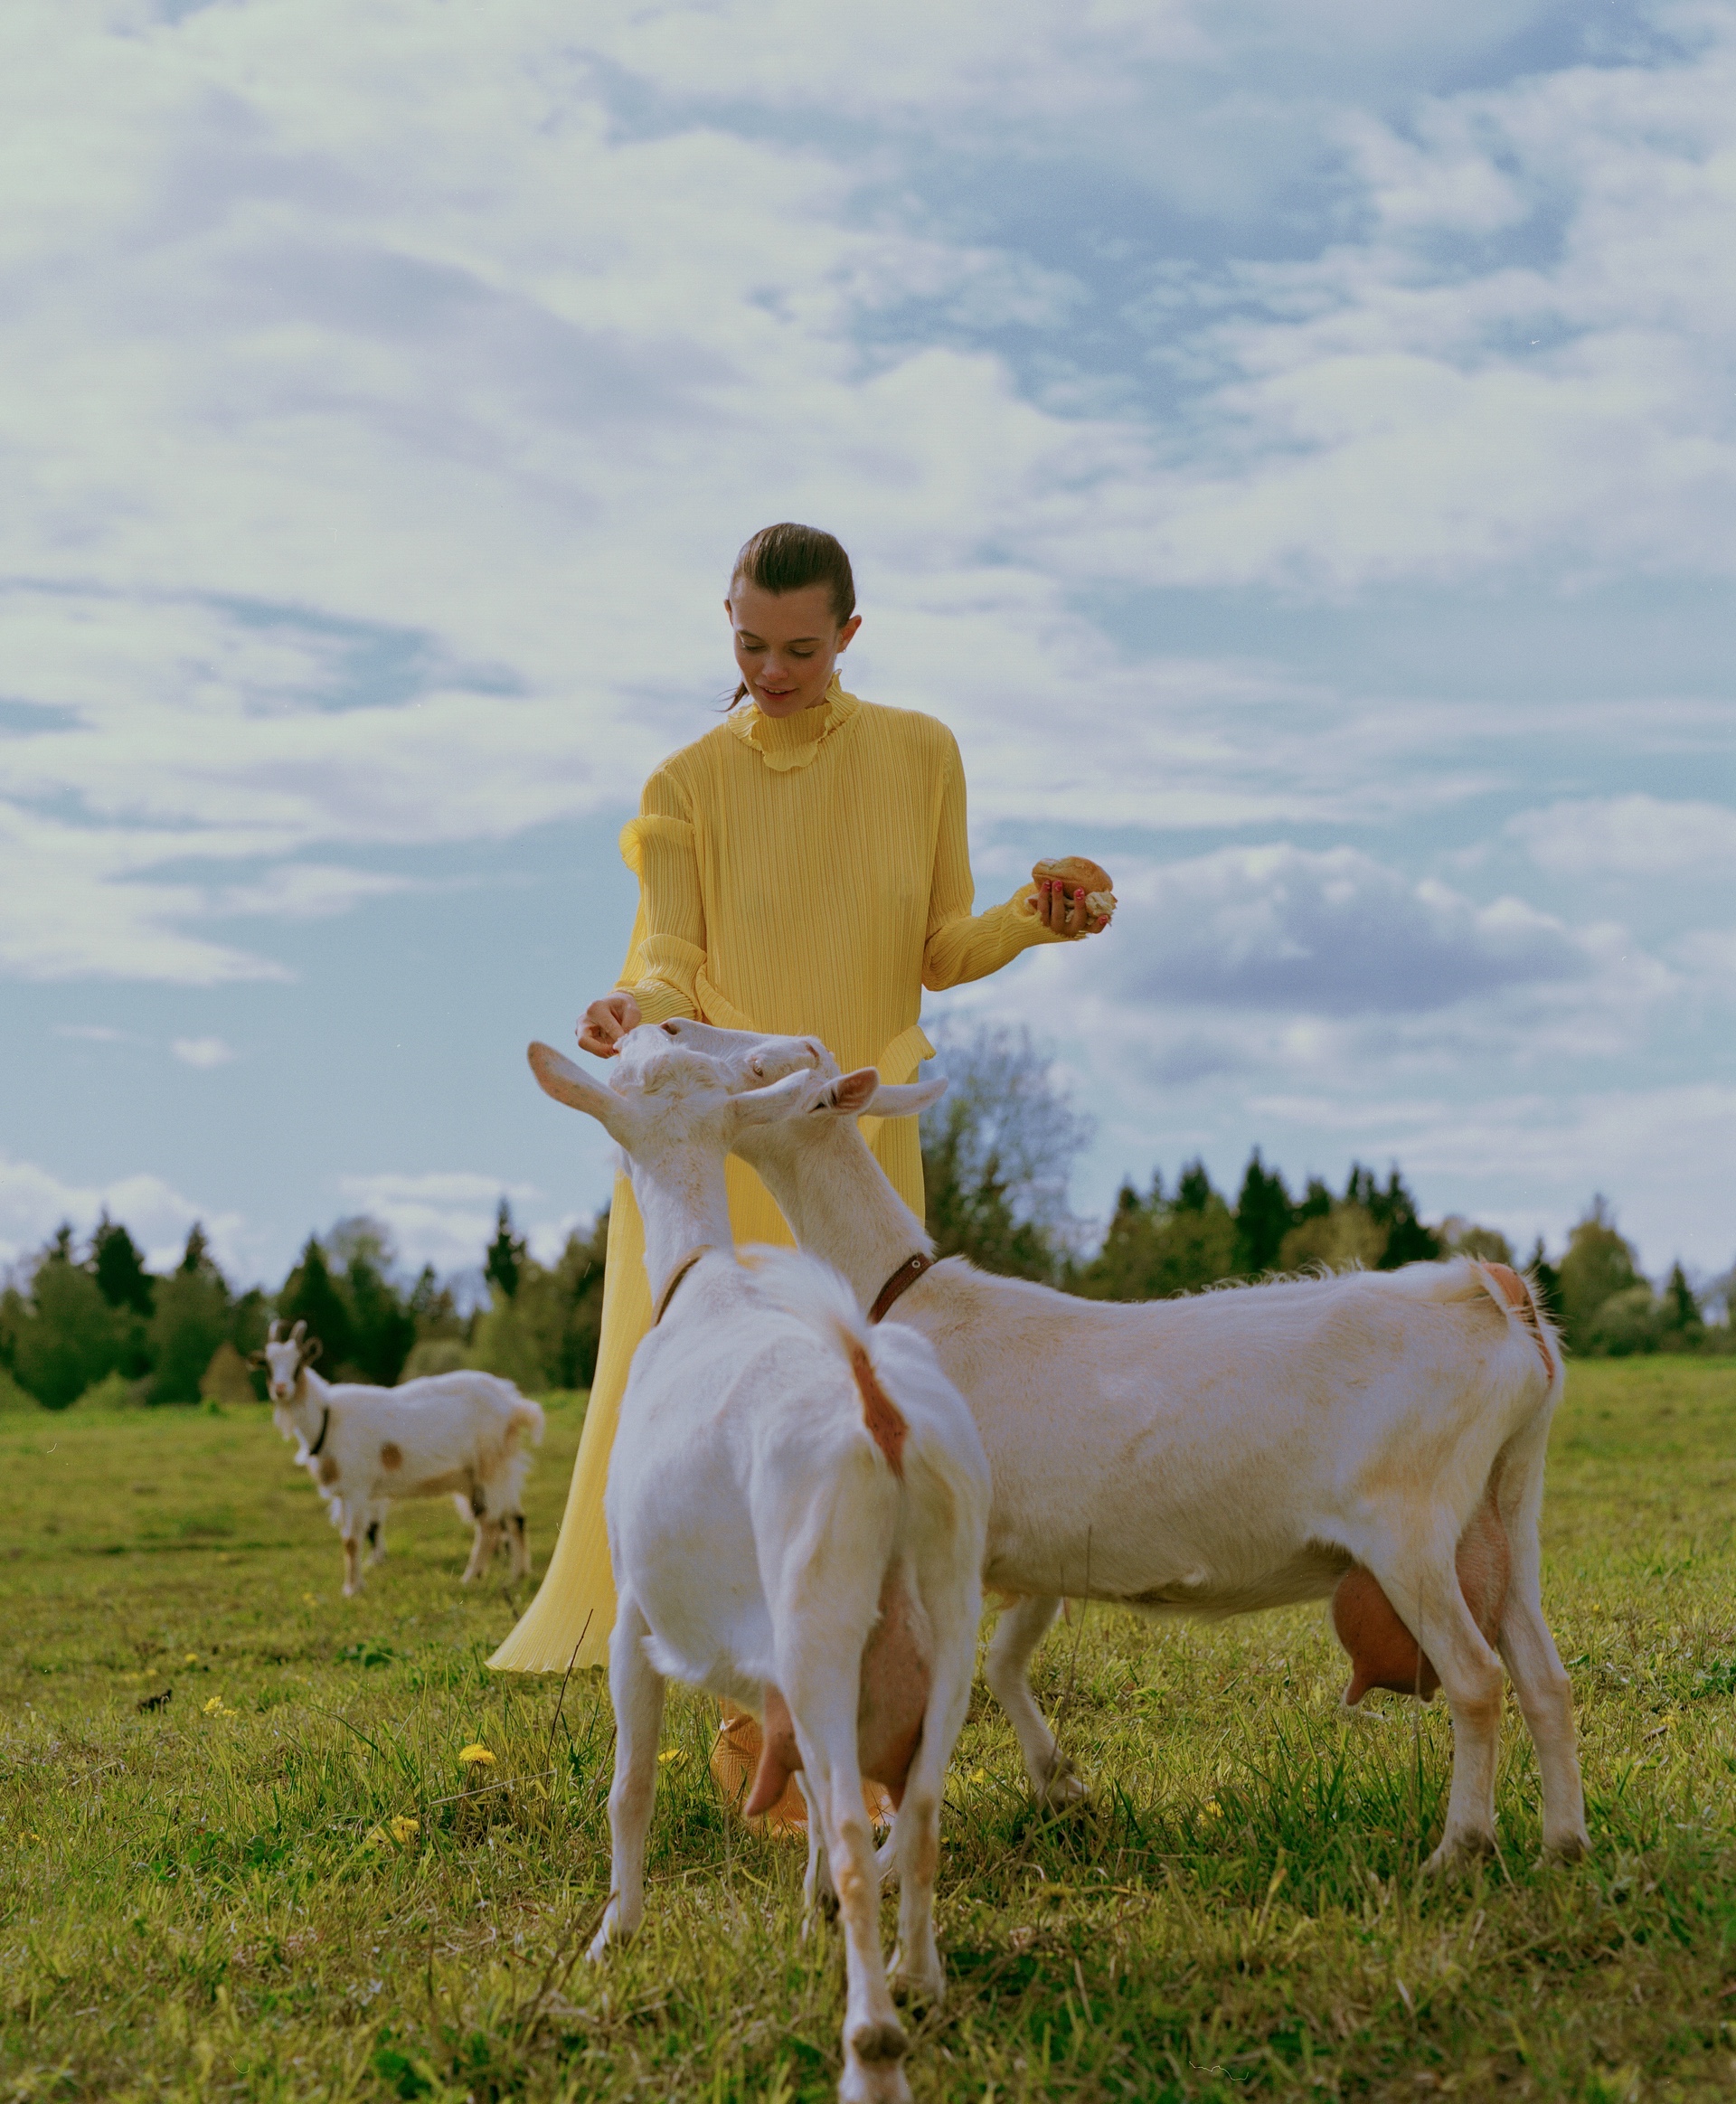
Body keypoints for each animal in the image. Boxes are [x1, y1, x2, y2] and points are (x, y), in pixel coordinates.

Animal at [255, 1321, 542, 1599]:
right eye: (267, 1364)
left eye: (298, 1363)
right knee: (511, 1518)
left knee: (493, 1523)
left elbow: (352, 1539)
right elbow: (351, 1537)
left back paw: (477, 1577)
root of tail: (513, 1403)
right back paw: (511, 1577)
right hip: (486, 1475)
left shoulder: (356, 1488)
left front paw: (352, 1589)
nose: (280, 1389)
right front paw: (355, 1584)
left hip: (492, 1466)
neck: (327, 1417)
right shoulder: (345, 1493)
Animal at [524, 1034, 988, 2104]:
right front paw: (808, 1911)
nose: (642, 1027)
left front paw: (615, 1934)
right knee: (921, 1811)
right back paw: (918, 1979)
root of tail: (879, 1411)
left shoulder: (634, 1617)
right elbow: (810, 1798)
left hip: (822, 1613)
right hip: (949, 1611)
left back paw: (872, 2042)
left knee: (863, 1837)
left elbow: (631, 1785)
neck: (704, 1282)